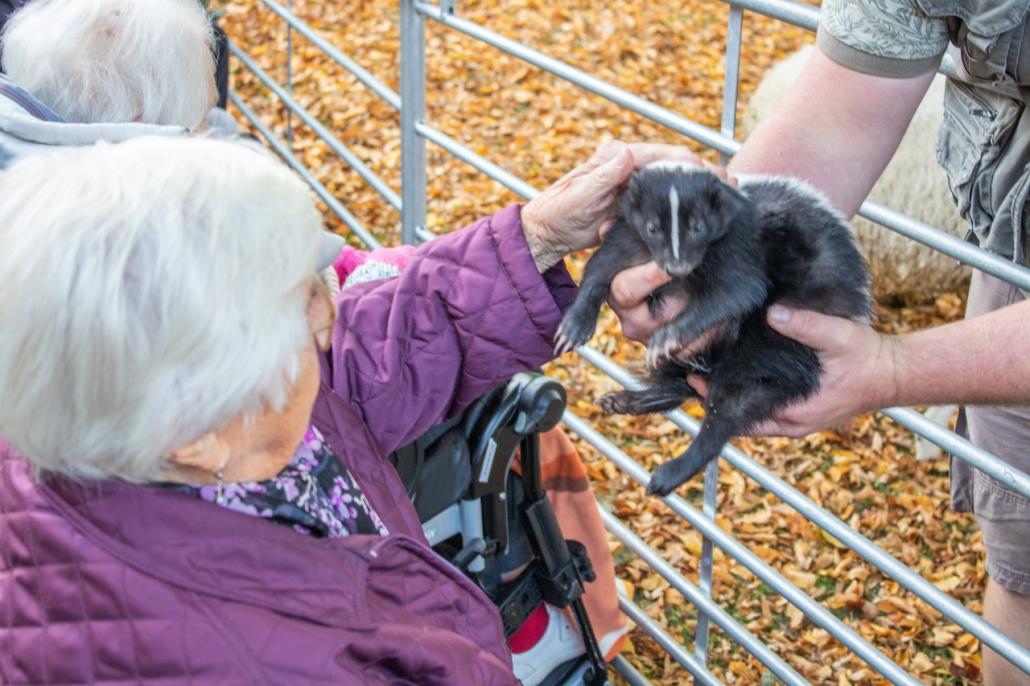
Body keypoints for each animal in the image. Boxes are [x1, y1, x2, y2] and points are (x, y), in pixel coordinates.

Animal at [556, 162, 869, 494]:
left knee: (729, 410)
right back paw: (628, 400)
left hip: (773, 343)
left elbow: (736, 291)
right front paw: (574, 325)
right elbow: (600, 267)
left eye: (698, 228)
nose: (677, 267)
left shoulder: (739, 249)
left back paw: (671, 472)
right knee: (683, 387)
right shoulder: (629, 235)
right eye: (653, 228)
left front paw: (666, 337)